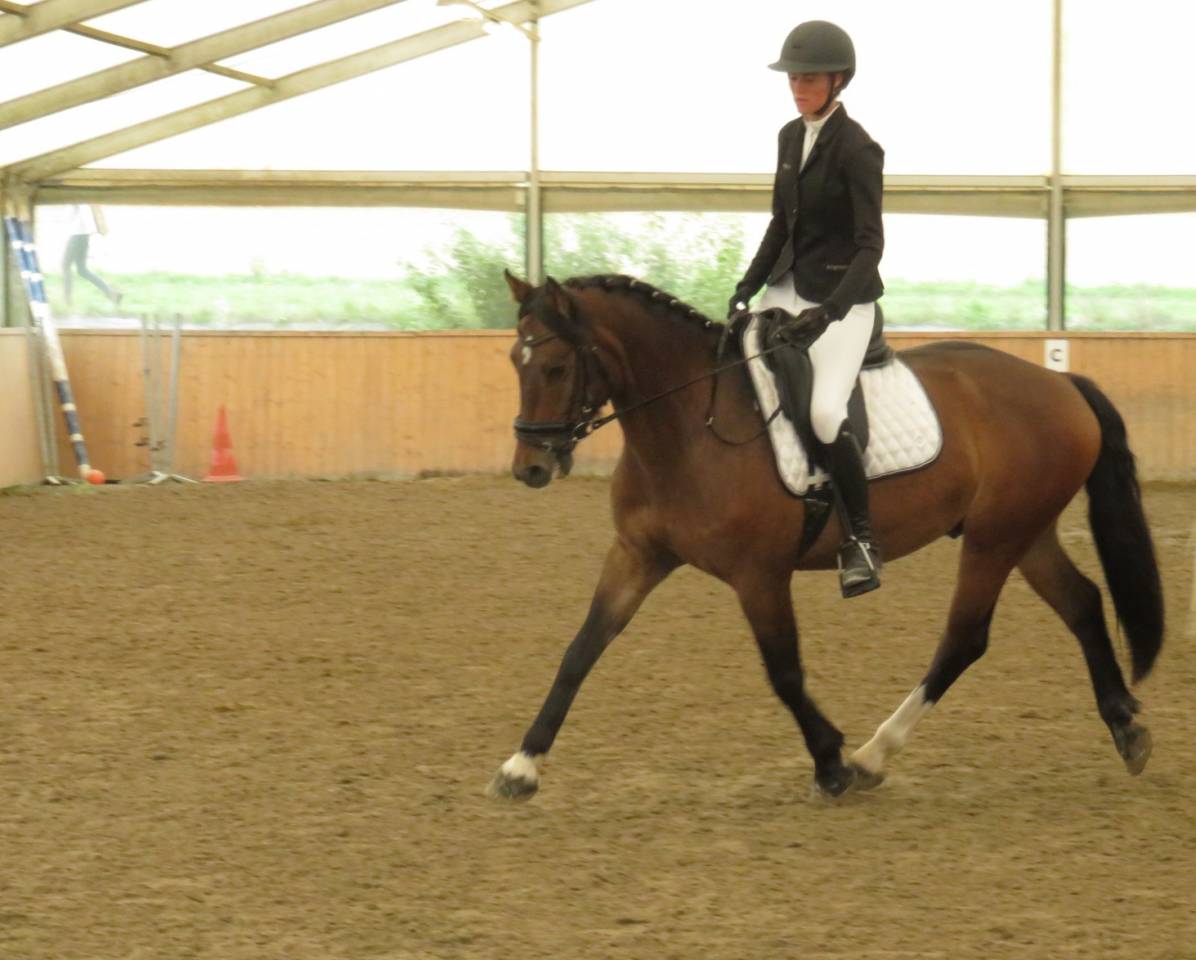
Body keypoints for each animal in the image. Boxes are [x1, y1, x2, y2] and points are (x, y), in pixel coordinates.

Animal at [488, 271, 1164, 801]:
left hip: (994, 540)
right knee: (1082, 603)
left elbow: (784, 671)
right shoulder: (638, 554)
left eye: (556, 366)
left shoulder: (758, 575)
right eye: (515, 363)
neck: (688, 424)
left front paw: (831, 762)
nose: (530, 468)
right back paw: (1126, 728)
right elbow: (581, 649)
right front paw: (522, 766)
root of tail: (1063, 383)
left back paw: (870, 756)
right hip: (1026, 531)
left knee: (965, 638)